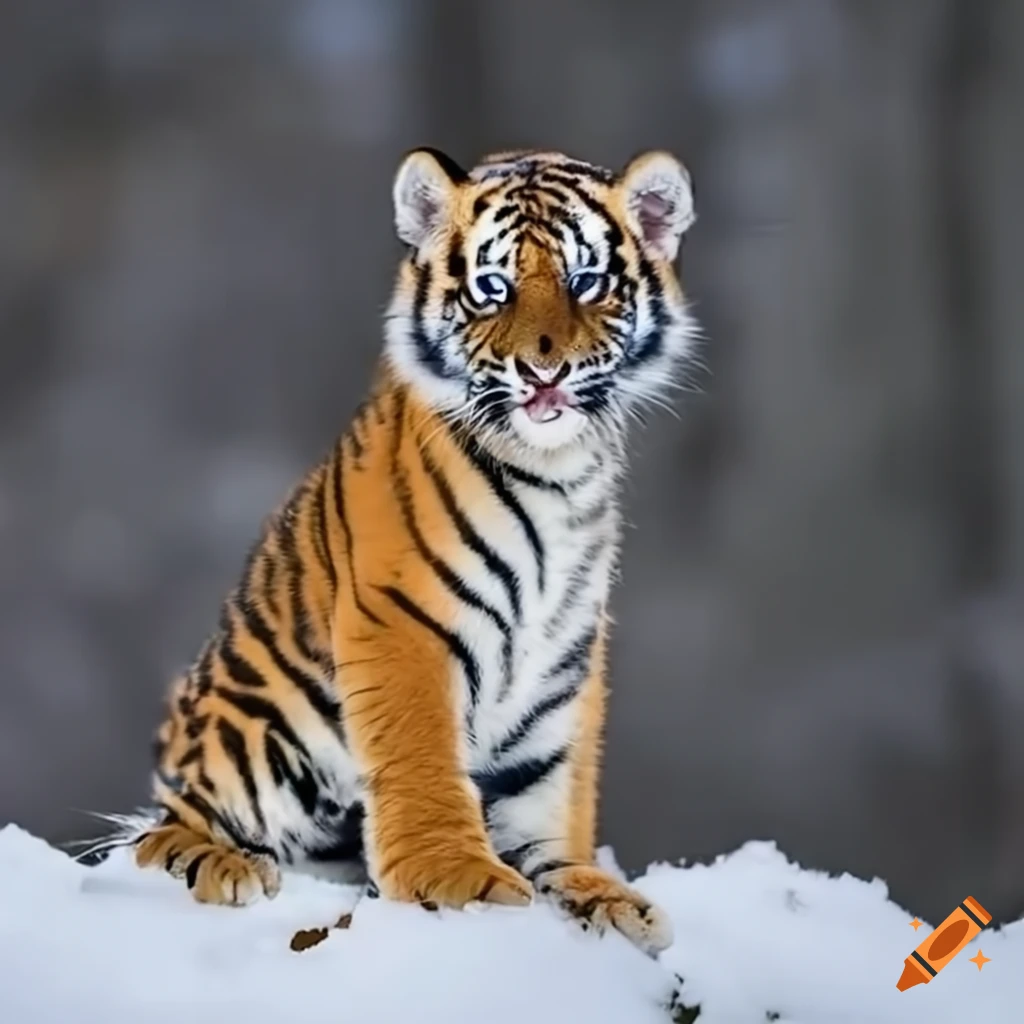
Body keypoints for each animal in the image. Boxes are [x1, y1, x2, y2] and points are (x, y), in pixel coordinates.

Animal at [126, 146, 698, 957]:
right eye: (493, 289)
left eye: (586, 282)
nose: (544, 373)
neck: (557, 473)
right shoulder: (404, 621)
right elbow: (423, 755)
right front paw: (459, 882)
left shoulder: (565, 653)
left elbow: (555, 786)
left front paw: (595, 894)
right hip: (253, 741)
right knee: (159, 835)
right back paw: (224, 866)